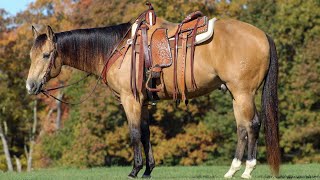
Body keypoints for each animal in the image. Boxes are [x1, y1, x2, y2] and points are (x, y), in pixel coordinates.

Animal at [26, 3, 278, 179]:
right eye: (31, 55)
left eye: (46, 55)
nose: (30, 85)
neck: (117, 48)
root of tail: (263, 35)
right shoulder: (144, 102)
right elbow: (146, 133)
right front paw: (148, 170)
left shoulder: (130, 100)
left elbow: (135, 132)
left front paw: (134, 170)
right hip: (236, 95)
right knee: (242, 128)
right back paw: (232, 170)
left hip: (243, 93)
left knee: (252, 125)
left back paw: (247, 170)